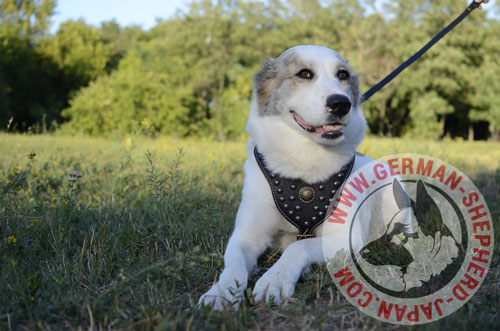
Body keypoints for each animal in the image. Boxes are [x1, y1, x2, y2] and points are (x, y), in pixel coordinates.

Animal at [198, 45, 406, 310]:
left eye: (343, 75)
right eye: (304, 73)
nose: (341, 103)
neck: (305, 160)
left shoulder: (344, 236)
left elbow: (299, 246)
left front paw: (275, 278)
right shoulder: (246, 235)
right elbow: (233, 264)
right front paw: (221, 292)